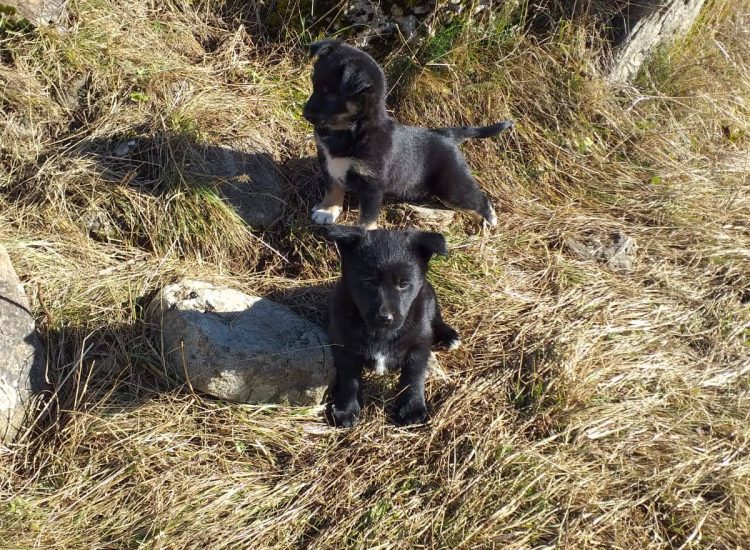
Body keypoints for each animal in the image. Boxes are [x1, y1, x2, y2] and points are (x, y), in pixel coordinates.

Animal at [302, 40, 516, 231]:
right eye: (314, 84)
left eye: (330, 94)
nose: (305, 114)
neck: (352, 130)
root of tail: (447, 135)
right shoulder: (328, 164)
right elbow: (333, 188)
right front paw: (327, 210)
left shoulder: (372, 187)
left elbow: (367, 218)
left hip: (453, 185)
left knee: (479, 199)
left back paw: (490, 220)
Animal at [324, 226, 464, 430]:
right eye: (368, 282)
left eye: (403, 284)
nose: (385, 318)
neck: (382, 334)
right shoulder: (344, 346)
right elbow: (350, 379)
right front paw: (347, 409)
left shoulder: (419, 344)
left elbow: (413, 377)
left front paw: (412, 409)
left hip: (430, 297)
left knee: (436, 318)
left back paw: (449, 336)